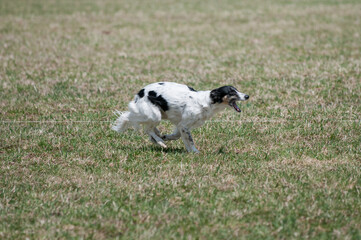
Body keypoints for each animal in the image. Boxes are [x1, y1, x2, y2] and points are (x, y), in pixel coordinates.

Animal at [111, 82, 249, 153]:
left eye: (237, 90)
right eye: (232, 92)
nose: (247, 96)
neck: (207, 102)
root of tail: (139, 93)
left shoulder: (181, 125)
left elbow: (178, 136)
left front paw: (167, 137)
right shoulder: (184, 125)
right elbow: (190, 140)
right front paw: (195, 151)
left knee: (150, 128)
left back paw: (158, 137)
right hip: (155, 114)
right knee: (147, 129)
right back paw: (160, 142)